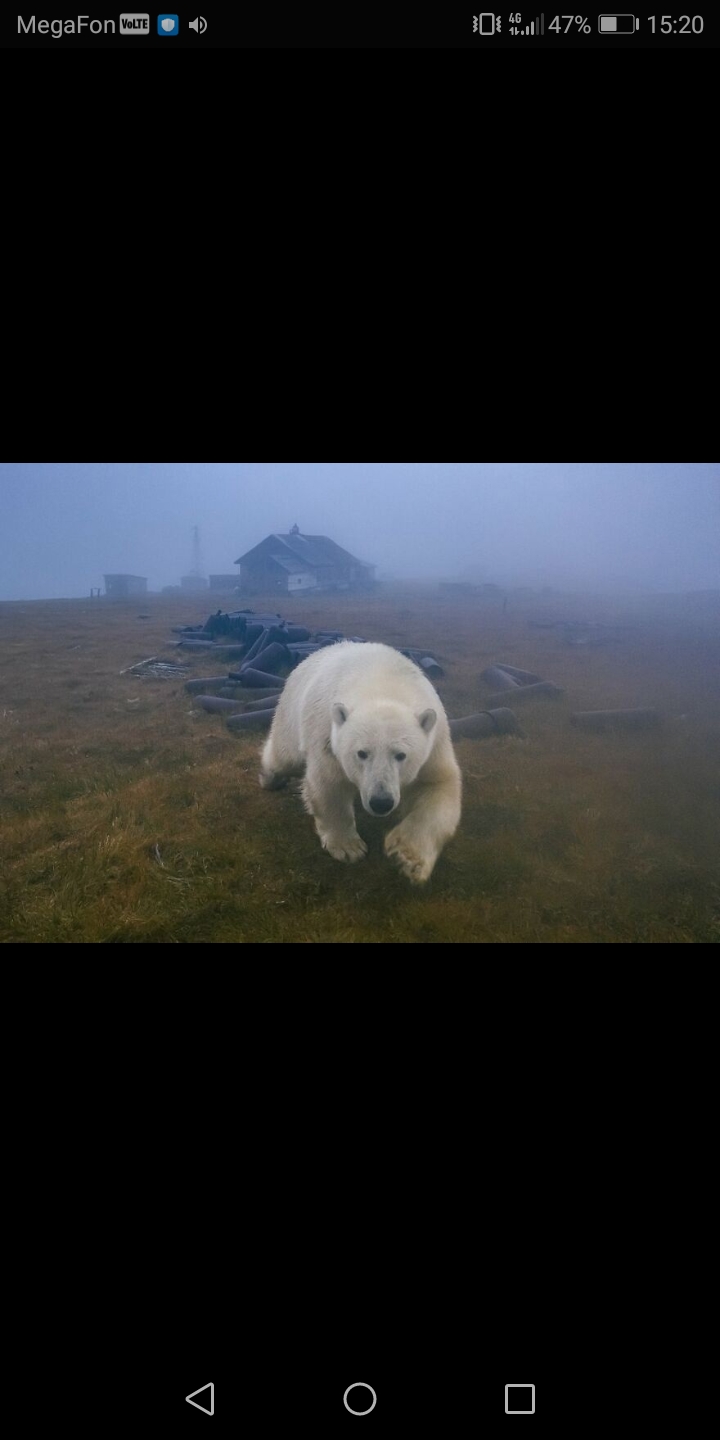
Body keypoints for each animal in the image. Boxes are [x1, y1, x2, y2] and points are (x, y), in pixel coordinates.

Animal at [259, 639, 460, 875]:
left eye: (401, 755)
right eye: (362, 753)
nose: (381, 802)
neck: (384, 685)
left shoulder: (435, 743)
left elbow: (439, 786)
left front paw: (407, 856)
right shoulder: (327, 732)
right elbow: (330, 784)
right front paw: (348, 848)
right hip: (291, 711)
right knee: (284, 756)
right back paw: (269, 778)